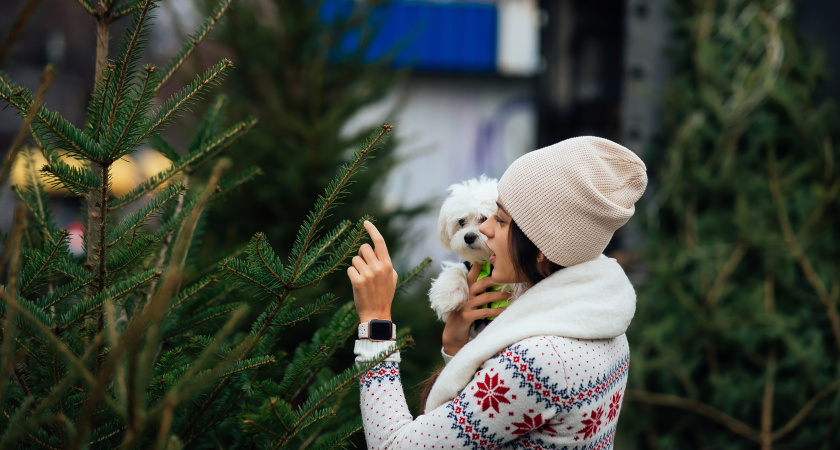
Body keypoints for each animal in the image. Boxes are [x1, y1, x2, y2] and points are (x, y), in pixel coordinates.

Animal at [426, 174, 498, 322]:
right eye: (461, 221)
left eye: (485, 218)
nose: (468, 237)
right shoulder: (469, 266)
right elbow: (457, 269)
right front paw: (447, 296)